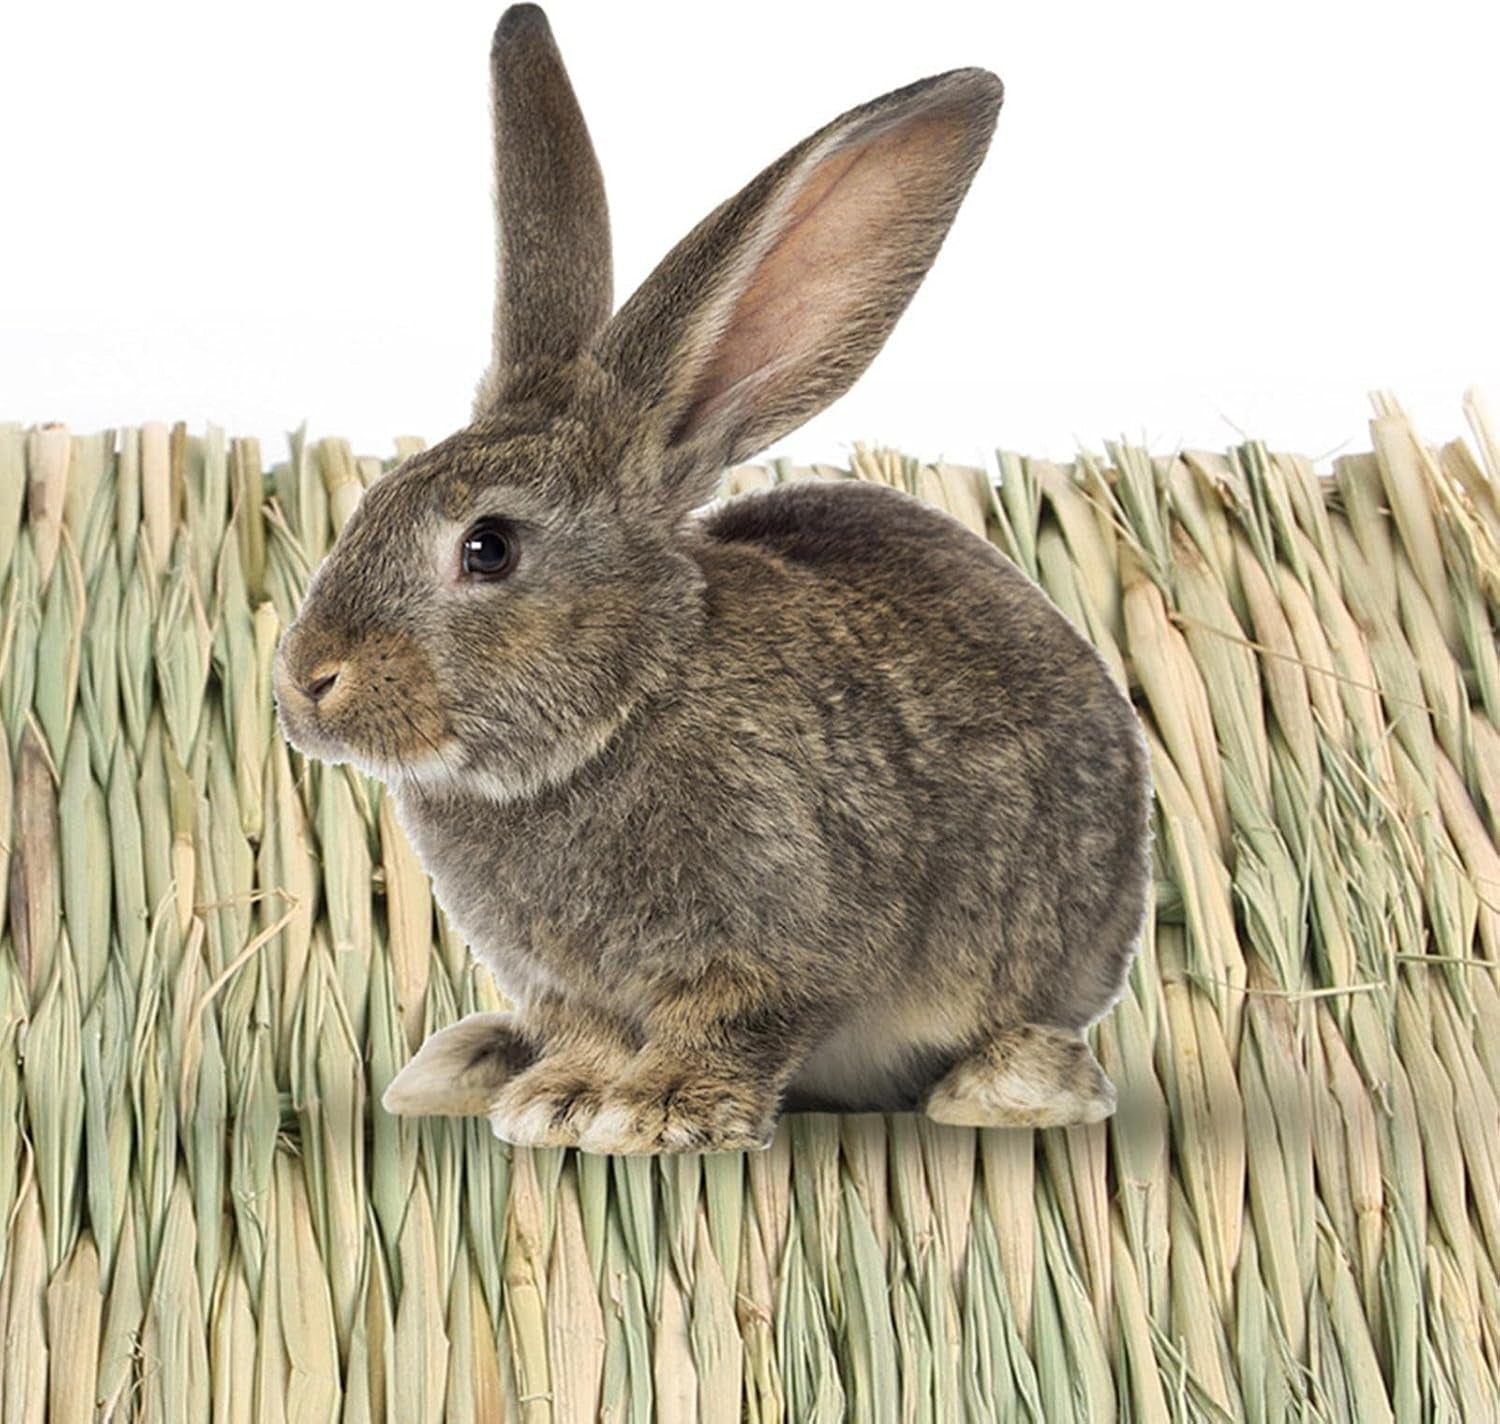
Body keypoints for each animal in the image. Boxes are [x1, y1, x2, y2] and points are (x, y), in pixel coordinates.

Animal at [273, 3, 1153, 1154]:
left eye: (488, 548)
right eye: (372, 500)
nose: (306, 683)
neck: (621, 713)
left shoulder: (778, 937)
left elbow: (732, 1025)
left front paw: (656, 1110)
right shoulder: (567, 984)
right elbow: (587, 1033)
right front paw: (558, 1099)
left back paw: (1007, 1088)